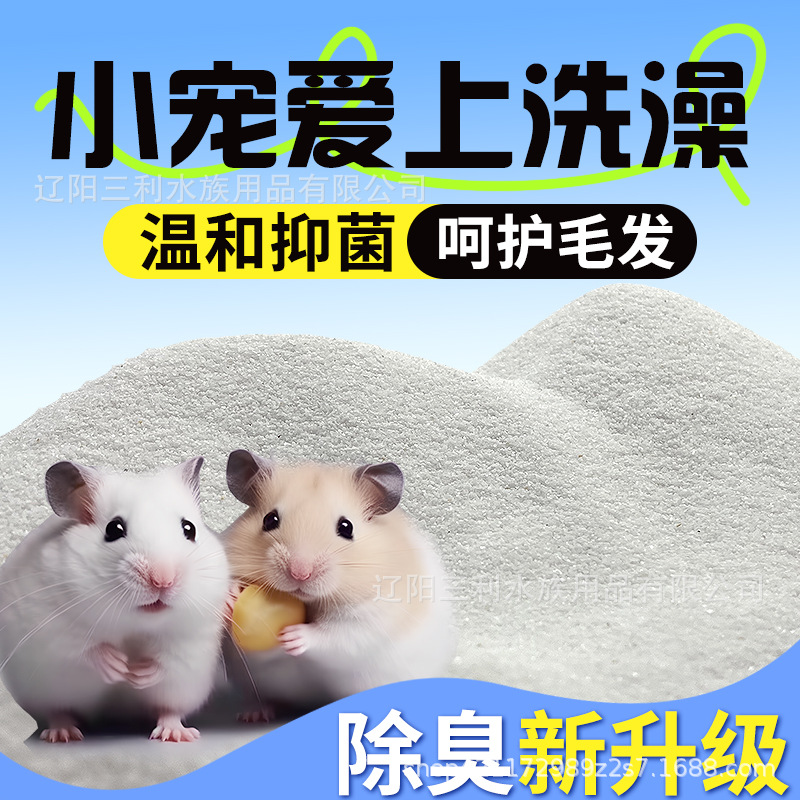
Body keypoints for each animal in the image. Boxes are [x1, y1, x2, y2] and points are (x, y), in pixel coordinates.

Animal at [0, 457, 230, 743]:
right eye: (114, 528)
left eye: (189, 529)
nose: (163, 580)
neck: (135, 622)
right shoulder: (52, 625)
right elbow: (83, 648)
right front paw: (120, 667)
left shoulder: (190, 639)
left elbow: (167, 660)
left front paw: (137, 673)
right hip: (44, 692)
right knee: (57, 711)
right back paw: (63, 734)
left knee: (169, 710)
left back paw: (176, 733)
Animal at [222, 449, 455, 718]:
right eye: (270, 520)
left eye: (347, 527)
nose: (300, 573)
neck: (310, 602)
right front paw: (231, 596)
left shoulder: (369, 620)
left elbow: (333, 636)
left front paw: (294, 636)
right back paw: (255, 714)